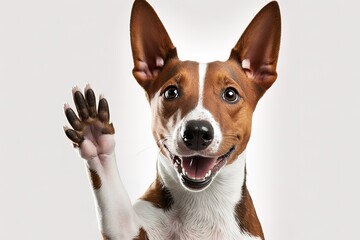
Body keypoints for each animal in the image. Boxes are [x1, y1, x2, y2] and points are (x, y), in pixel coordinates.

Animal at [62, 0, 282, 239]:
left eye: (230, 94)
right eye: (171, 92)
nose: (197, 132)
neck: (202, 203)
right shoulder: (131, 228)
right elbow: (118, 216)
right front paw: (95, 138)